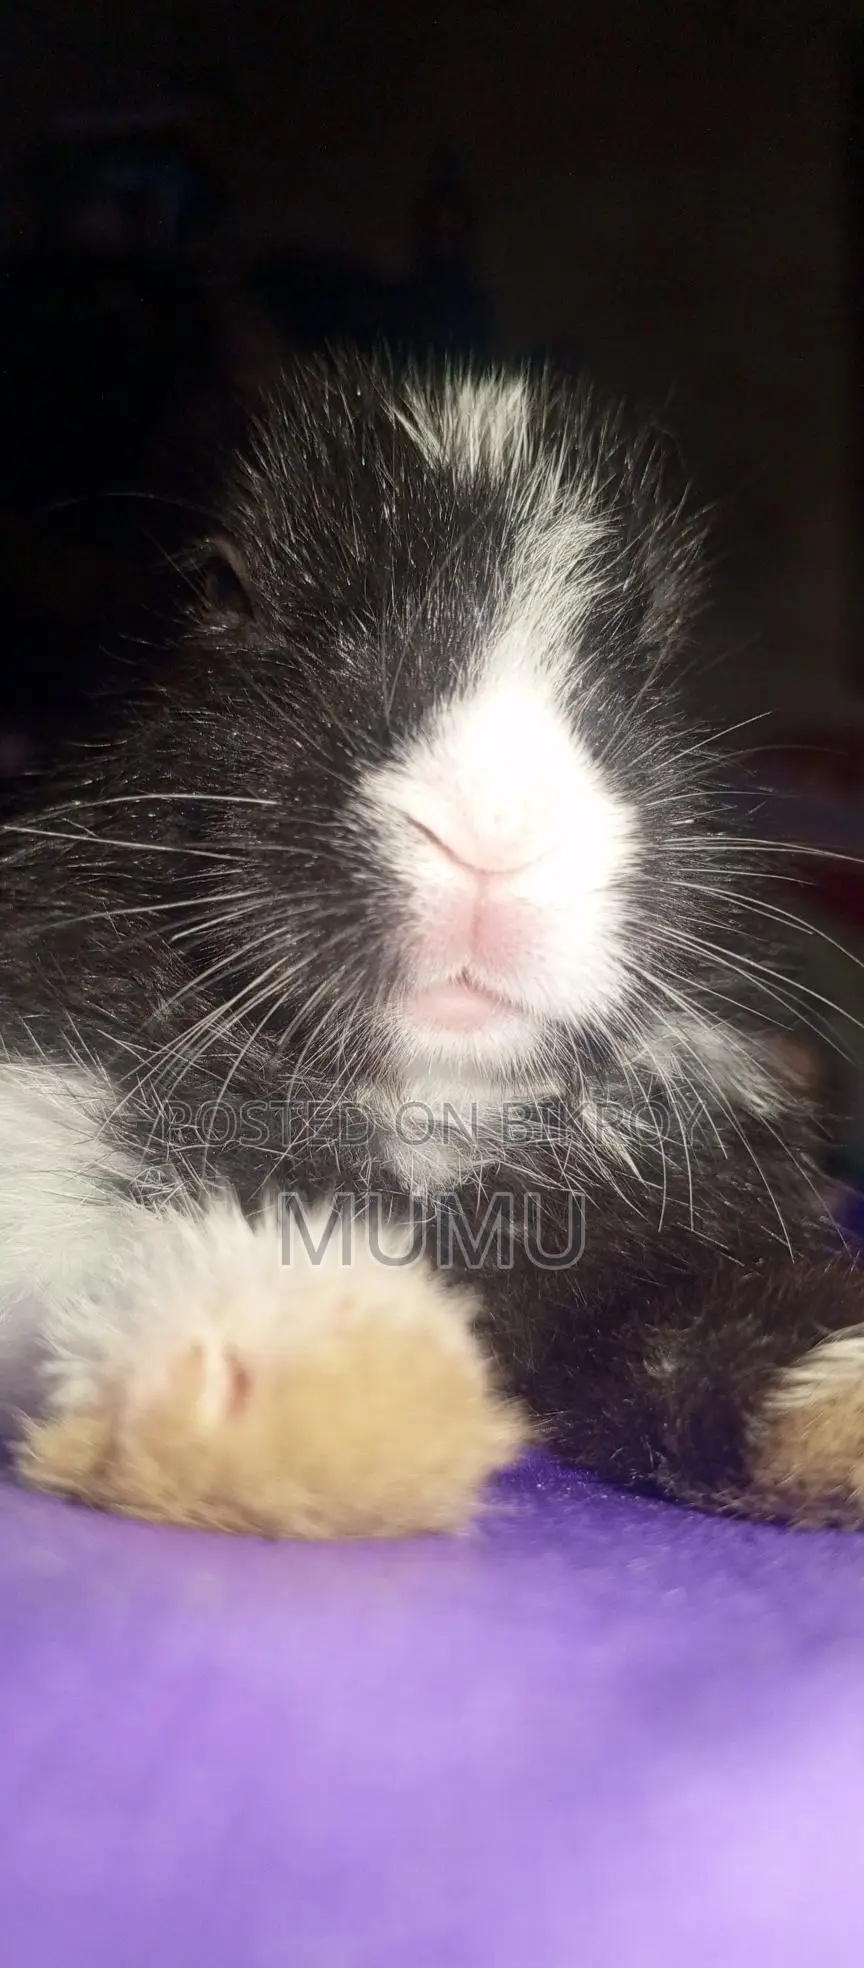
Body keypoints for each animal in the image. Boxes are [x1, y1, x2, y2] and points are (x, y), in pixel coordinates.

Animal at [0, 349, 859, 1537]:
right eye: (222, 586)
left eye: (658, 645)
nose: (492, 829)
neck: (427, 1105)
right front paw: (322, 1382)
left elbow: (691, 1332)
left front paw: (836, 1393)